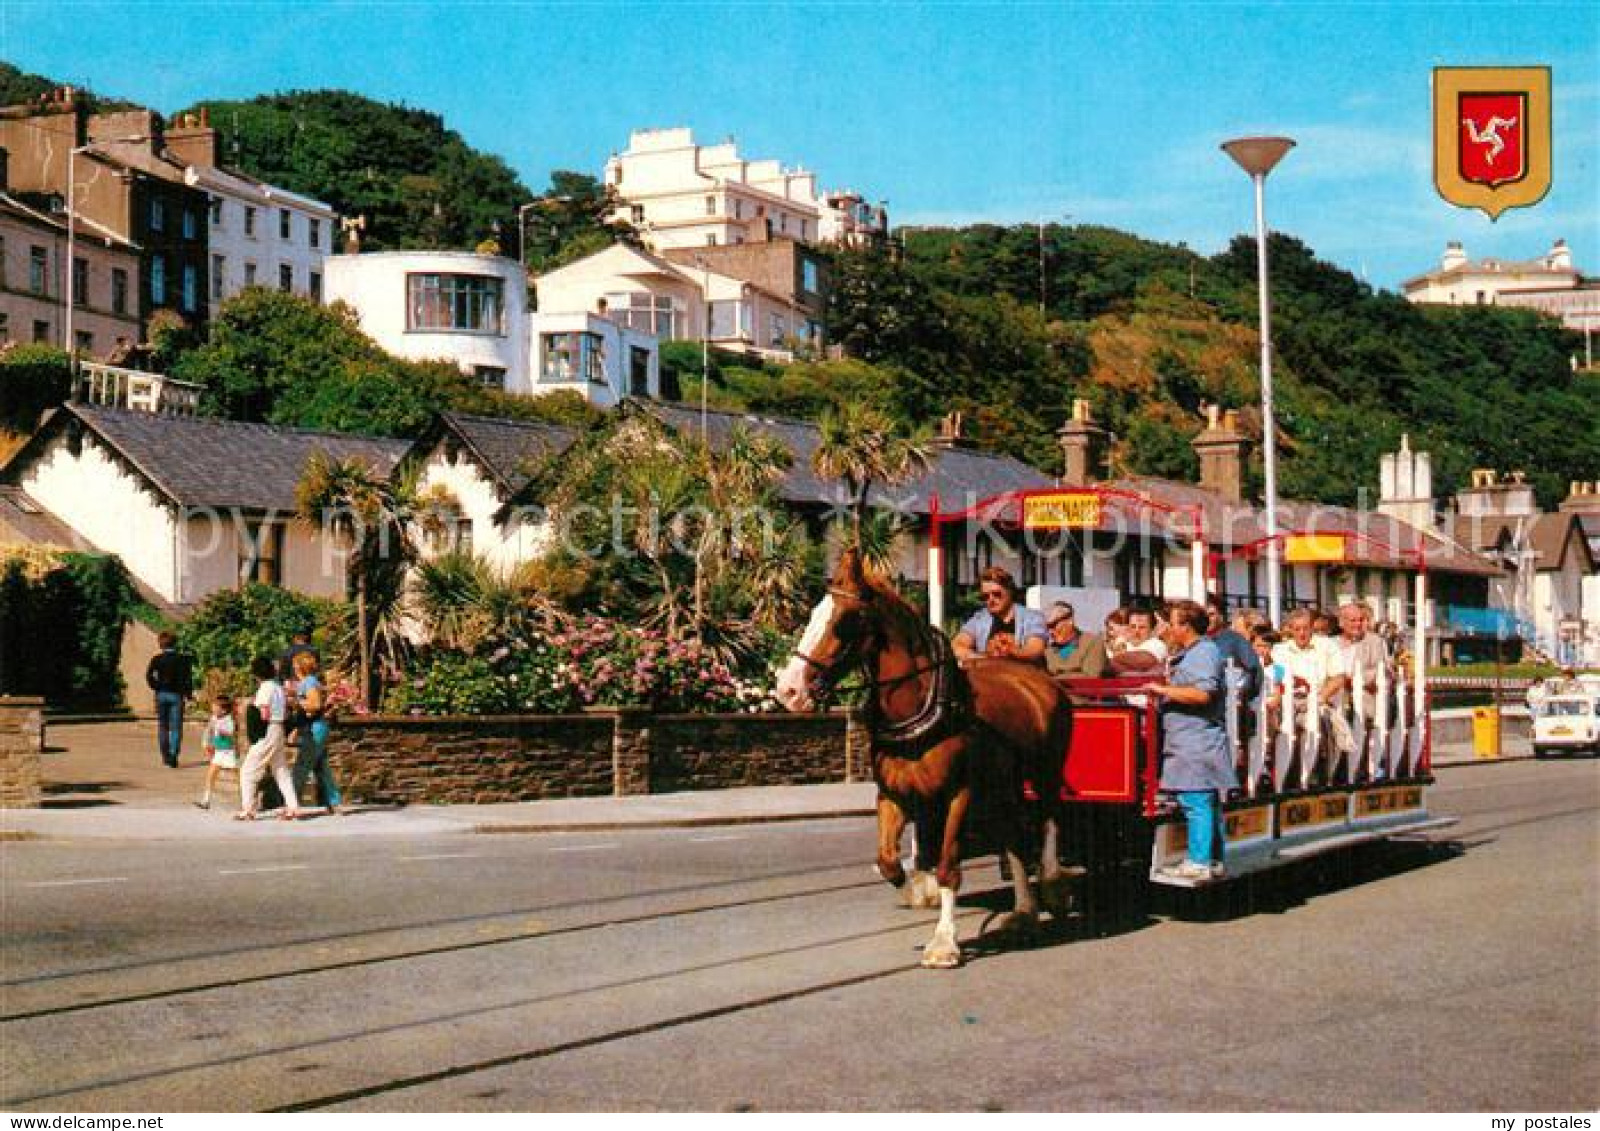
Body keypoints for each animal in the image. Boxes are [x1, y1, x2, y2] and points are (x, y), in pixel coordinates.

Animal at [774, 553, 1075, 966]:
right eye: (814, 612)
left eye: (843, 621)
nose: (788, 689)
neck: (921, 707)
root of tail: (1040, 680)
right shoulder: (893, 795)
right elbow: (888, 860)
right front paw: (920, 888)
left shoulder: (959, 795)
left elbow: (949, 864)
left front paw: (944, 942)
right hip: (1004, 785)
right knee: (1014, 834)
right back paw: (1024, 912)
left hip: (1046, 771)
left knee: (1049, 819)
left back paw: (1052, 884)